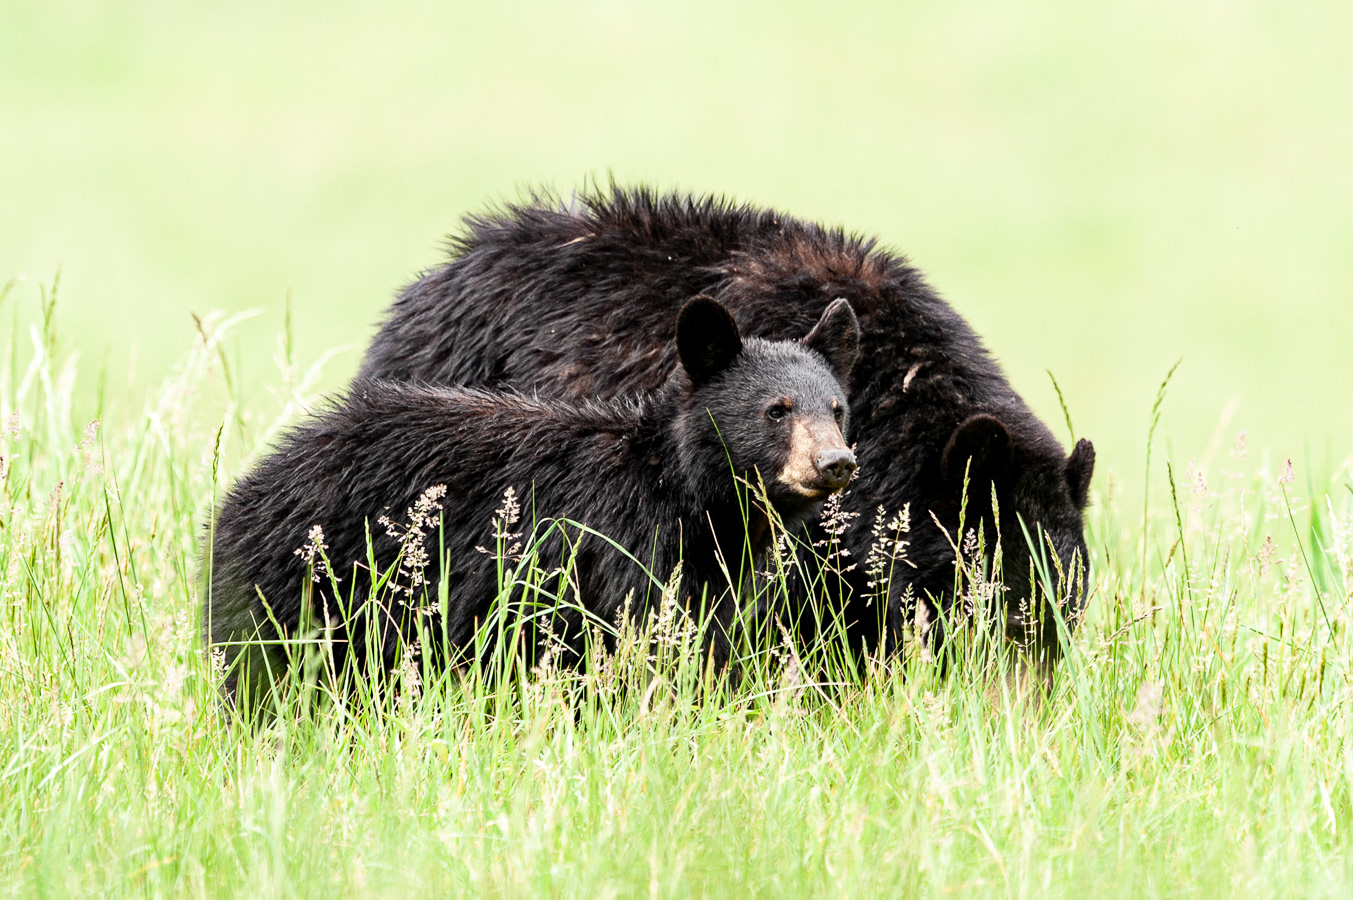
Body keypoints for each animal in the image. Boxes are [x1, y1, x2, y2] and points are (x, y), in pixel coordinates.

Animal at [204, 296, 860, 703]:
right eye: (776, 410)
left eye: (836, 409)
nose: (836, 463)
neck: (679, 491)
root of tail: (237, 497)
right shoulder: (617, 549)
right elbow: (633, 644)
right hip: (307, 588)